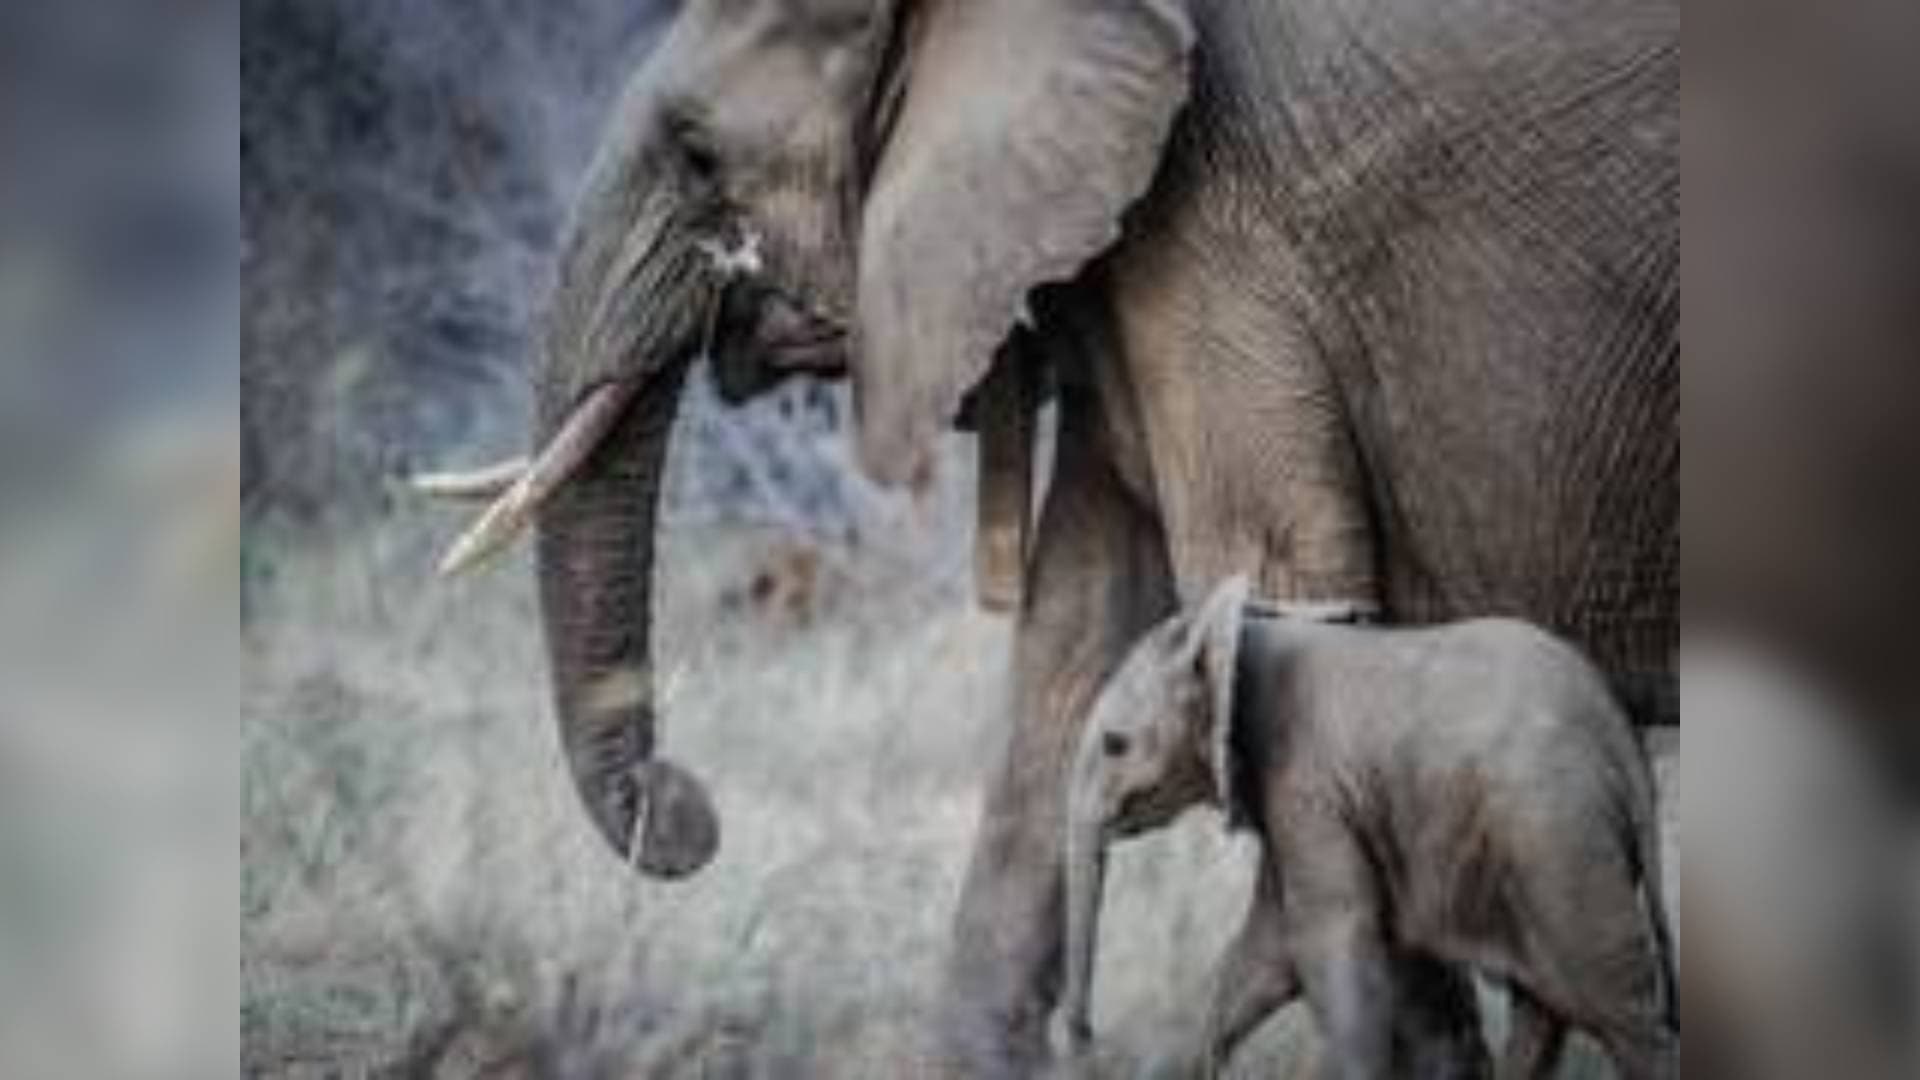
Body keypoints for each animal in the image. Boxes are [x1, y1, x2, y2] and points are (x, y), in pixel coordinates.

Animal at [1060, 577, 1678, 1079]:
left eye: (1115, 744)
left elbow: (1328, 941)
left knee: (1623, 1012)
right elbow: (1264, 954)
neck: (1240, 631)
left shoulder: (1307, 785)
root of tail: (1621, 737)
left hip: (1556, 839)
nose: (1081, 1035)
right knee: (1544, 1012)